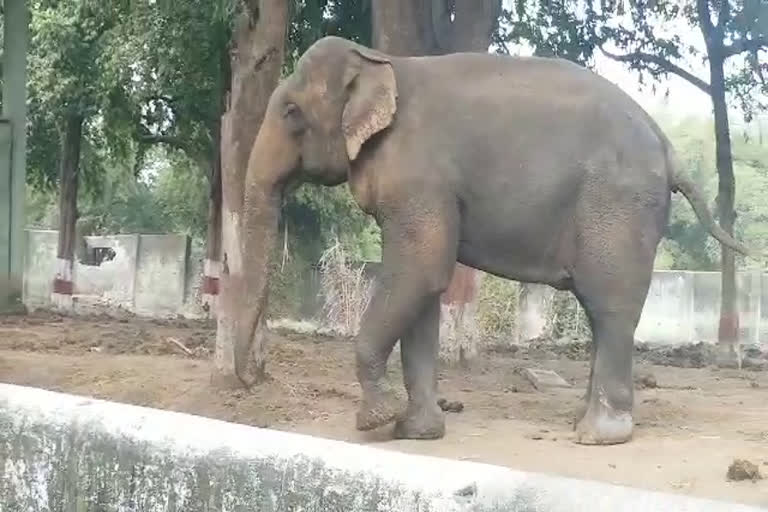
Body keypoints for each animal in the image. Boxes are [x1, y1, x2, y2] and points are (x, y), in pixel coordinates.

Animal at [232, 36, 752, 444]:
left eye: (292, 112)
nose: (249, 382)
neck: (382, 61)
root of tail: (668, 148)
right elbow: (425, 290)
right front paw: (416, 433)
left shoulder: (420, 177)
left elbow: (420, 270)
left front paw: (374, 421)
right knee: (600, 309)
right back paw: (579, 421)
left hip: (618, 206)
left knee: (610, 305)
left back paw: (598, 435)